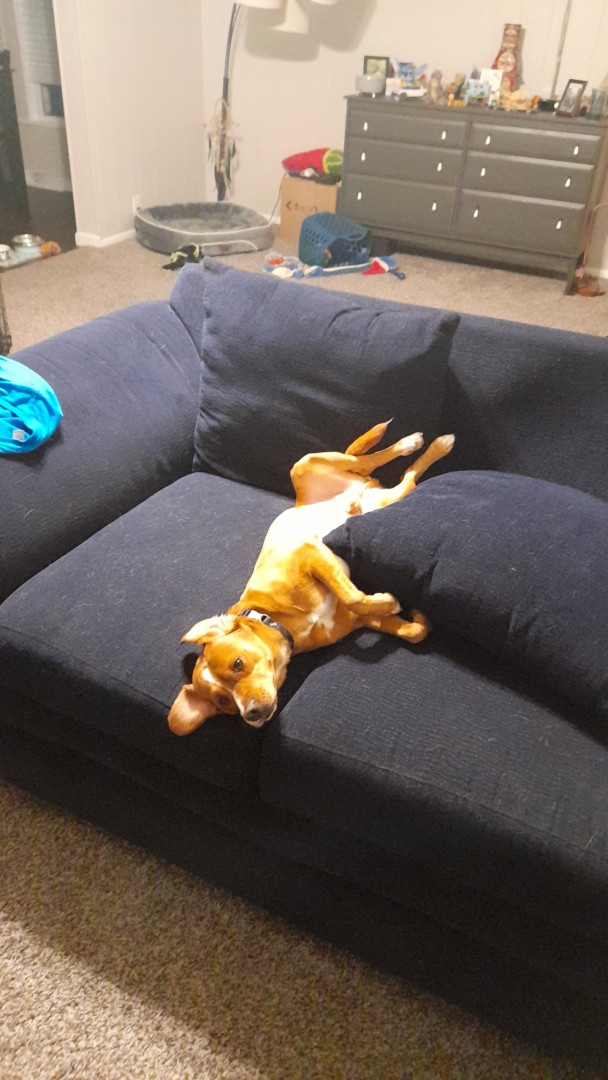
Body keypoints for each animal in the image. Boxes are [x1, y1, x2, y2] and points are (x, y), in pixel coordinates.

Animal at [168, 422, 454, 735]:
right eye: (224, 704)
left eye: (238, 664)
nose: (251, 715)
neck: (277, 620)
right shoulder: (358, 620)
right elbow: (411, 631)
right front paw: (415, 614)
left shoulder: (312, 554)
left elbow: (352, 595)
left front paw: (391, 602)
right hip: (383, 498)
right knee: (404, 480)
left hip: (303, 464)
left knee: (364, 462)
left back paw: (417, 443)